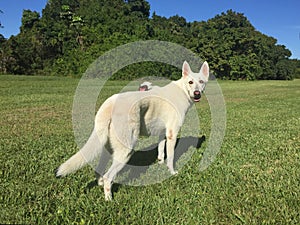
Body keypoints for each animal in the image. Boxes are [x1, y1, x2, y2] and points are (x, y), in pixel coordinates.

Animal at [56, 61, 209, 200]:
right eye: (190, 82)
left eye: (201, 81)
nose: (197, 93)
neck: (182, 90)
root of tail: (110, 102)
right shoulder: (172, 134)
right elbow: (171, 157)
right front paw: (172, 172)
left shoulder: (163, 134)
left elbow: (161, 151)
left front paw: (160, 163)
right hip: (126, 150)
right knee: (108, 177)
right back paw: (109, 199)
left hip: (107, 147)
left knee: (100, 170)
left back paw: (100, 184)